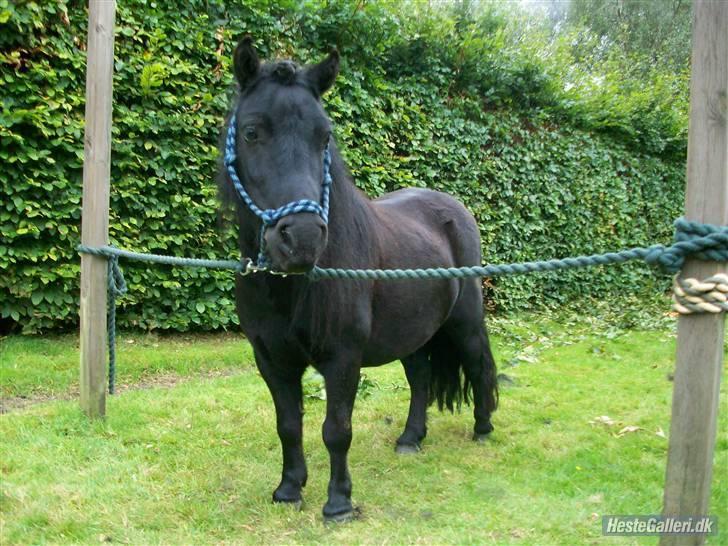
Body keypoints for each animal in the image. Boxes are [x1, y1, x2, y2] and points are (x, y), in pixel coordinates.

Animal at [219, 36, 498, 520]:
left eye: (324, 136)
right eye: (252, 131)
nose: (303, 239)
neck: (289, 288)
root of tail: (454, 208)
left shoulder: (342, 357)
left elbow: (336, 429)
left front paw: (338, 503)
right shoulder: (271, 359)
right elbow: (288, 425)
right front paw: (289, 490)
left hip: (463, 321)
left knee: (478, 363)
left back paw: (482, 428)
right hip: (415, 331)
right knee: (420, 378)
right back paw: (410, 439)